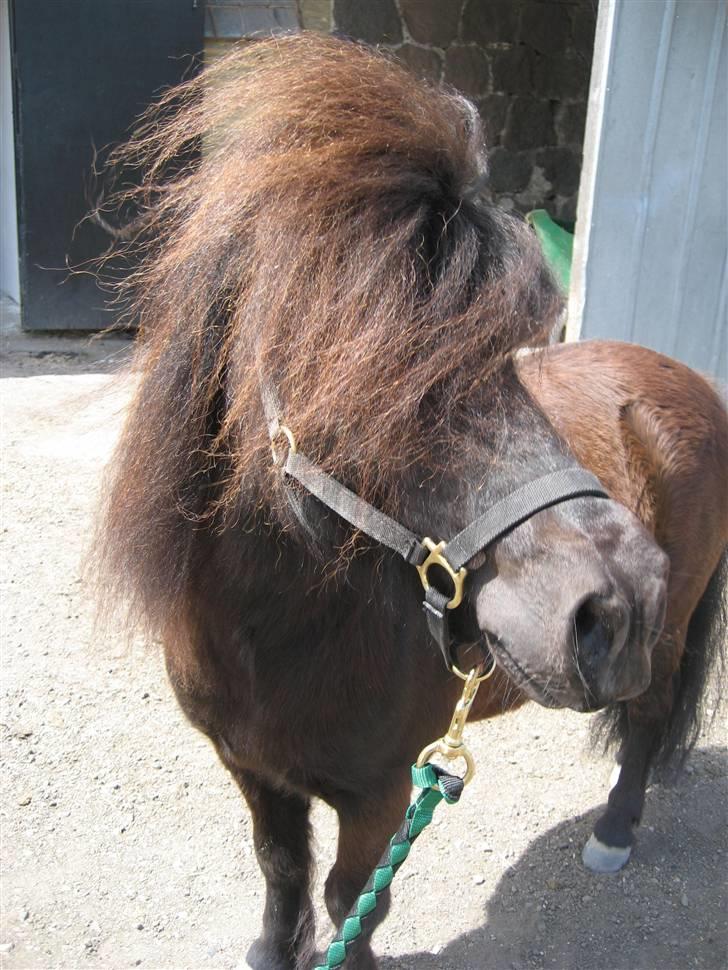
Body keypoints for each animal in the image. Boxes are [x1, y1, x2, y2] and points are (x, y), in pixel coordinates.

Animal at [94, 36, 724, 968]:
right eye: (355, 360)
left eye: (510, 356)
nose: (616, 605)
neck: (272, 633)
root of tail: (689, 380)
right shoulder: (252, 772)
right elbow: (279, 868)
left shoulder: (382, 791)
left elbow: (354, 899)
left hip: (672, 634)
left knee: (645, 720)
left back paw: (614, 831)